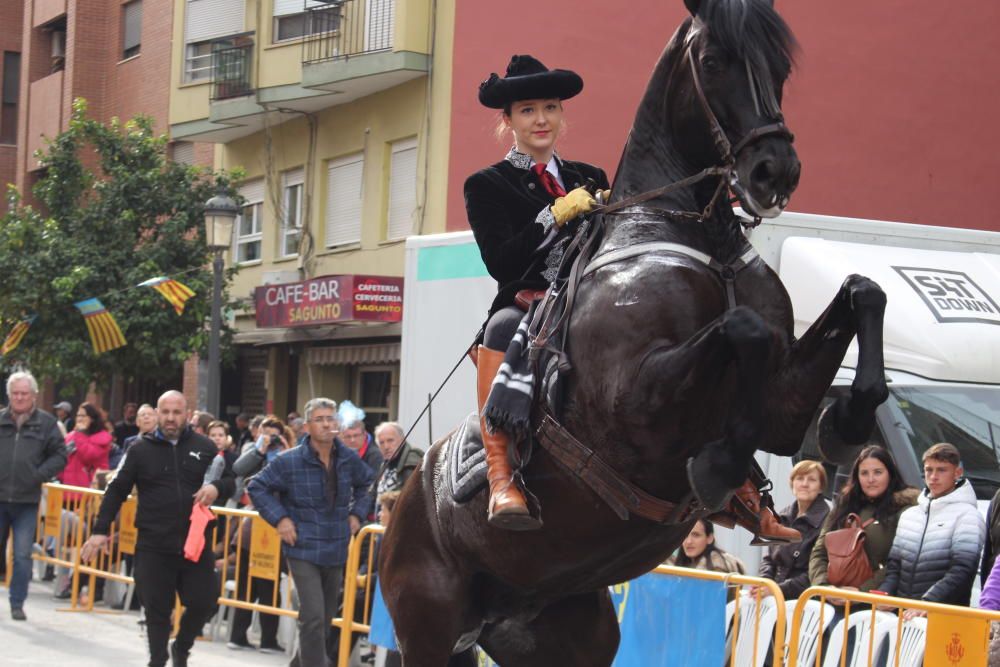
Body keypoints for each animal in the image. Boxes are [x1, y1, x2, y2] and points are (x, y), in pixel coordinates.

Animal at [378, 2, 888, 664]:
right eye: (714, 61)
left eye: (781, 67)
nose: (774, 170)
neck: (693, 235)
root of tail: (402, 500)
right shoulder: (637, 406)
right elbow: (743, 329)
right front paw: (721, 463)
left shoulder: (782, 403)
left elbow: (862, 289)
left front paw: (847, 419)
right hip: (428, 631)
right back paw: (507, 497)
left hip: (567, 634)